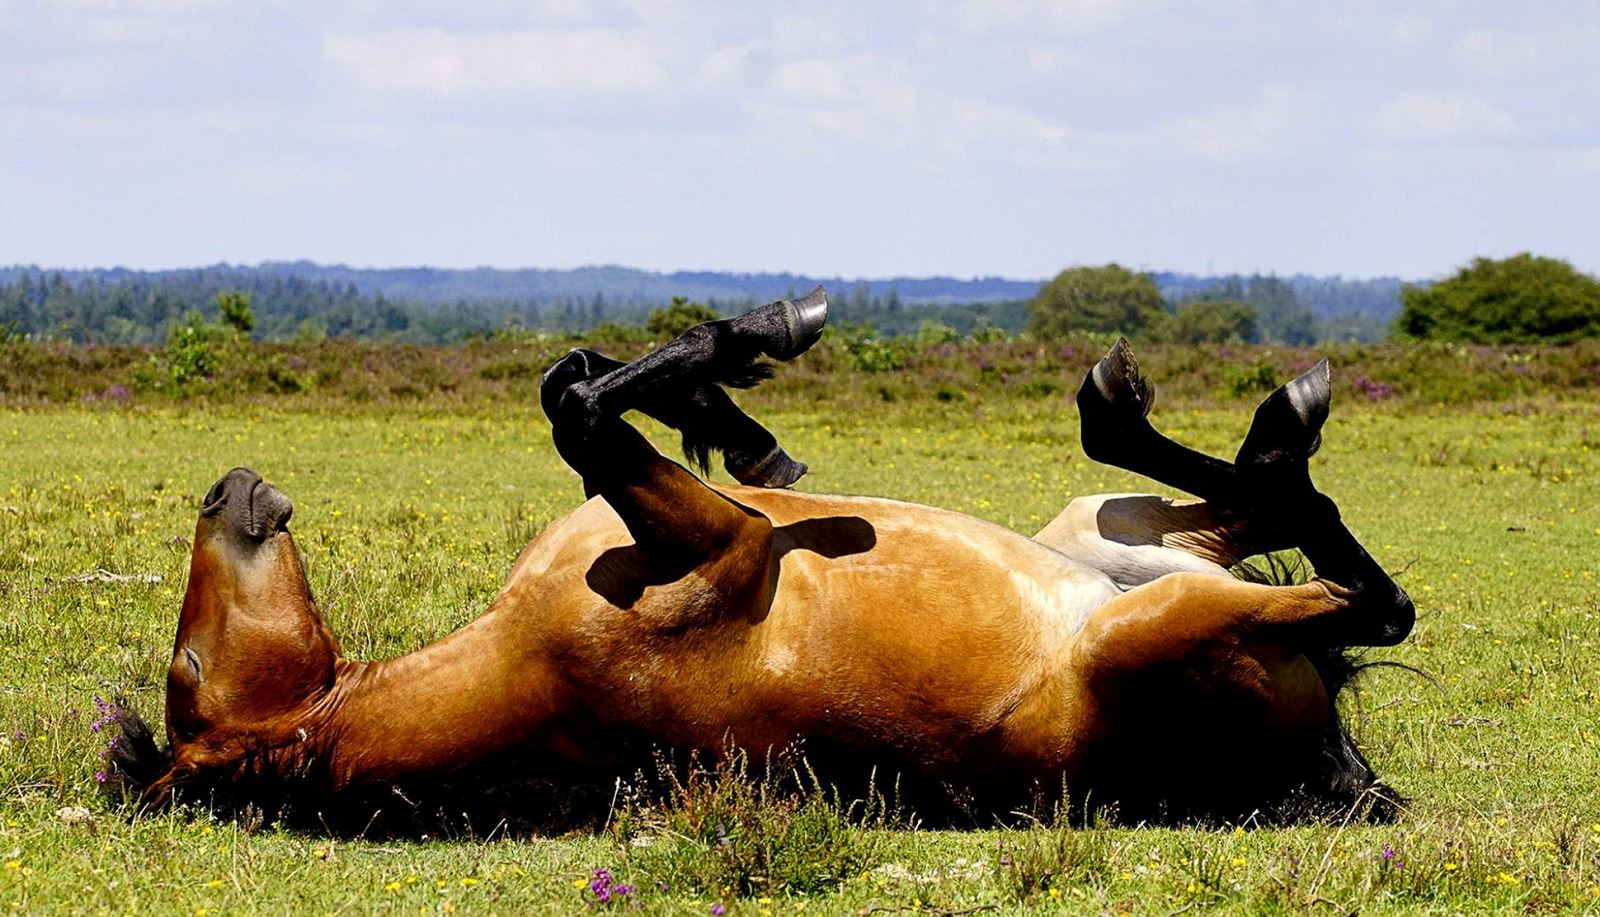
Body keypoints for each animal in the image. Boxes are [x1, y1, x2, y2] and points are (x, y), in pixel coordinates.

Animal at [112, 291, 1414, 832]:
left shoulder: (694, 521)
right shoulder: (727, 545)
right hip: (1159, 623)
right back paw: (1264, 431)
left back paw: (1226, 416)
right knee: (1362, 592)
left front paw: (733, 399)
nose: (228, 490)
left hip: (1109, 526)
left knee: (1241, 503)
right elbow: (579, 410)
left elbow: (573, 383)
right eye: (189, 673)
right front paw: (755, 344)